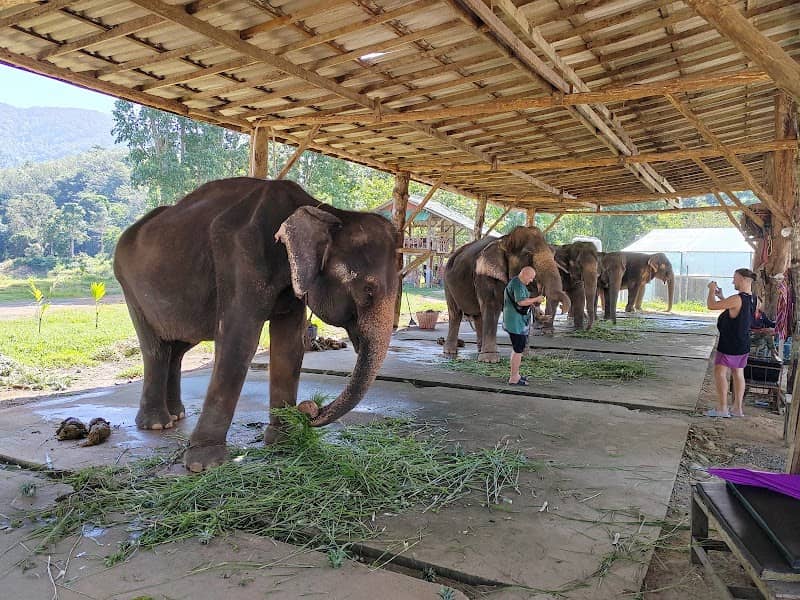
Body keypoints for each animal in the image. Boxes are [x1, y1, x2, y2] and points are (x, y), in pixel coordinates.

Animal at [113, 177, 398, 472]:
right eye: (368, 291)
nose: (309, 409)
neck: (324, 209)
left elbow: (289, 344)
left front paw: (283, 441)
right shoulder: (241, 258)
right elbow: (239, 341)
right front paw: (203, 465)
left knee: (177, 347)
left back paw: (176, 415)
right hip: (130, 288)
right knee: (155, 348)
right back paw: (157, 424)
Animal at [442, 226, 571, 362]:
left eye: (553, 253)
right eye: (527, 254)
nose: (562, 309)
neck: (505, 240)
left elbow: (522, 309)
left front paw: (525, 356)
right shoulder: (485, 275)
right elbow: (492, 306)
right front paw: (490, 360)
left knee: (478, 315)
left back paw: (479, 350)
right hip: (446, 282)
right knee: (455, 313)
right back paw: (450, 352)